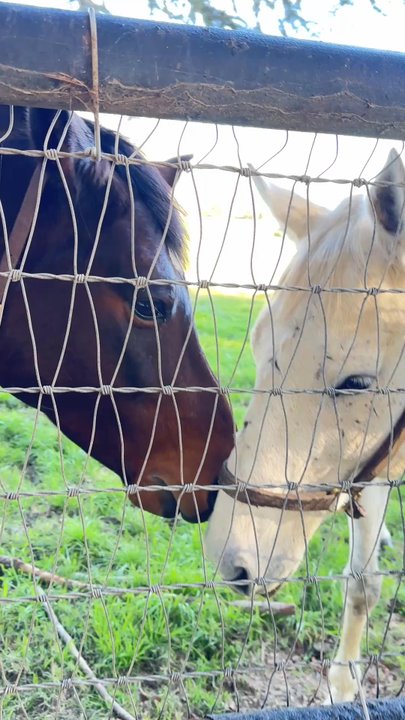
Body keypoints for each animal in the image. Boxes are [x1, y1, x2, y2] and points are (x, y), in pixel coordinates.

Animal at [205, 148, 405, 702]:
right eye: (257, 348)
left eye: (357, 382)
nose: (232, 561)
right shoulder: (371, 467)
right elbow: (362, 583)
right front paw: (342, 685)